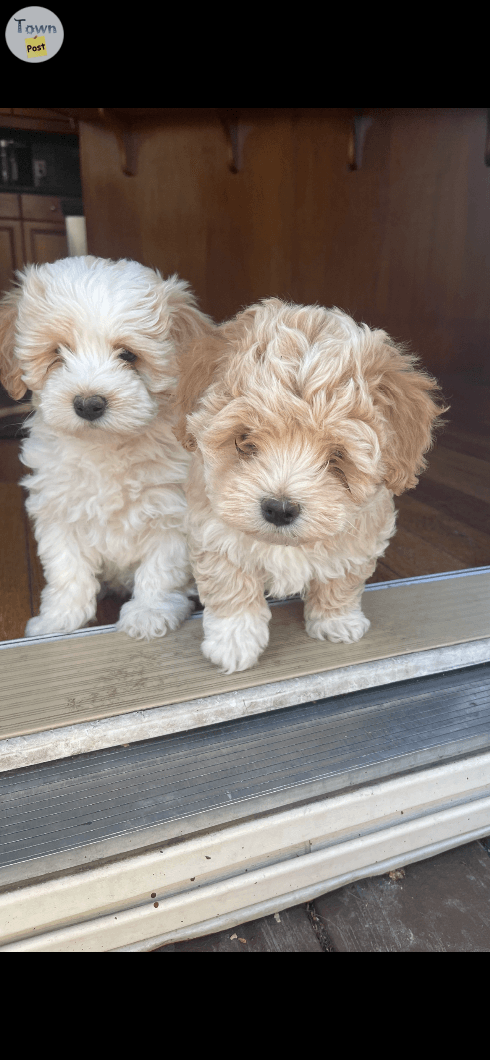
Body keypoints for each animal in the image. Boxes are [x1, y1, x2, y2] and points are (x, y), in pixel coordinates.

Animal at [0, 255, 213, 635]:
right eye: (58, 352)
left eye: (128, 355)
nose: (88, 404)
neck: (106, 447)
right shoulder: (58, 509)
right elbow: (66, 568)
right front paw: (59, 619)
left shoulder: (172, 512)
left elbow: (161, 567)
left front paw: (149, 613)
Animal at [174, 298, 443, 669]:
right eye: (244, 441)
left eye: (337, 456)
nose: (279, 508)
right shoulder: (214, 534)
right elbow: (231, 585)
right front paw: (234, 642)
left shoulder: (360, 538)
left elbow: (341, 578)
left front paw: (336, 621)